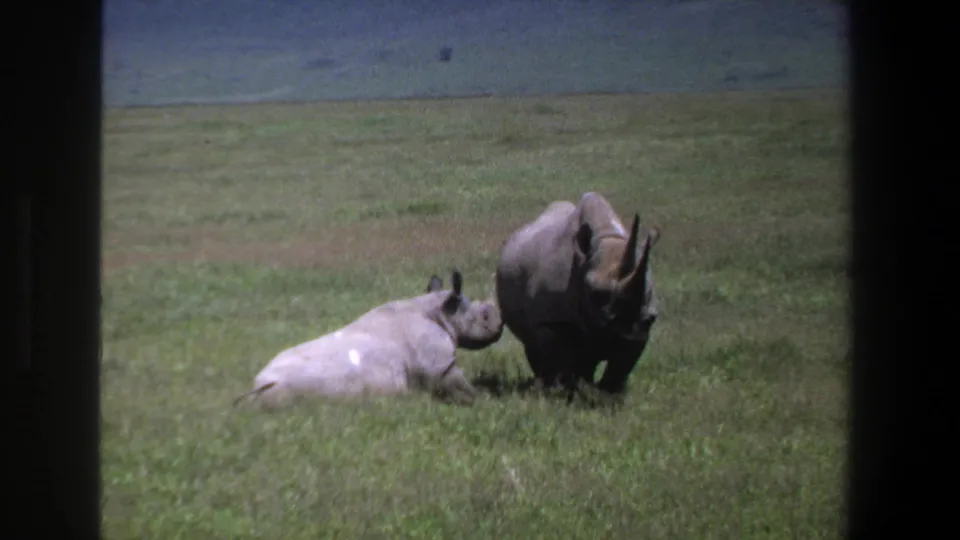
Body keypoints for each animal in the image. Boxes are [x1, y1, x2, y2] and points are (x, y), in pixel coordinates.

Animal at [232, 269, 504, 409]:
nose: (500, 327)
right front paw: (485, 398)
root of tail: (259, 385)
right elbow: (458, 382)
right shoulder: (438, 362)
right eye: (485, 316)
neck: (441, 309)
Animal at [495, 192, 661, 395]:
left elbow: (621, 366)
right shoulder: (550, 320)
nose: (626, 326)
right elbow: (558, 359)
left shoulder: (642, 326)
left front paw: (608, 395)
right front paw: (562, 392)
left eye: (648, 291)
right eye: (596, 293)